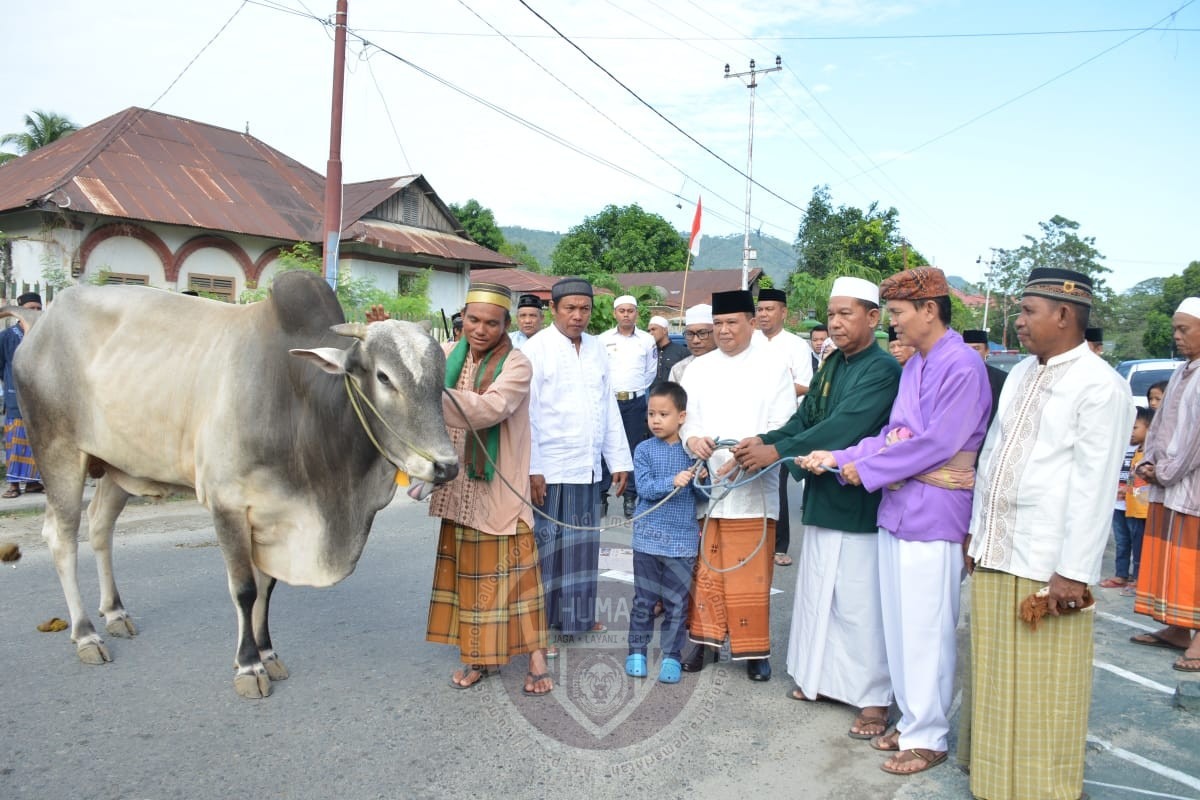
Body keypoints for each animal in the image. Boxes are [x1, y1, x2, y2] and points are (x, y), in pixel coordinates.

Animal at [5, 272, 453, 695]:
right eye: (384, 377)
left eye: (439, 379)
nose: (446, 466)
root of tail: (42, 322)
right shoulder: (228, 504)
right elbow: (244, 589)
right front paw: (249, 666)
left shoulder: (276, 513)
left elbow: (267, 586)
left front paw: (268, 652)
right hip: (59, 451)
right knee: (62, 536)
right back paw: (85, 634)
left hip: (120, 465)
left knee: (100, 526)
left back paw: (115, 613)